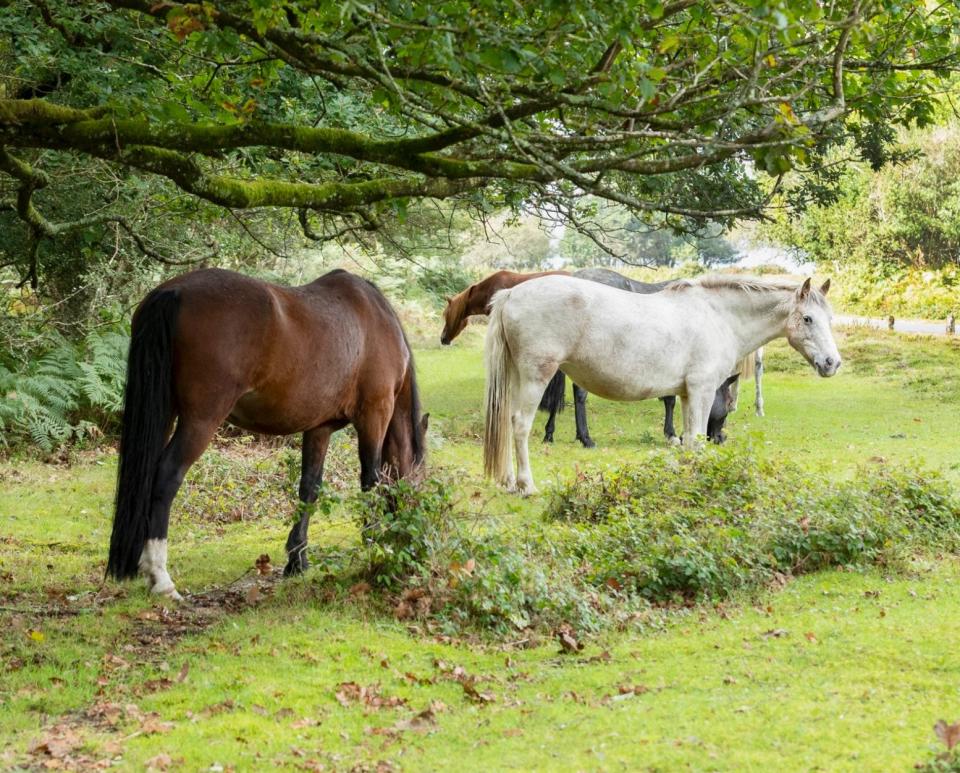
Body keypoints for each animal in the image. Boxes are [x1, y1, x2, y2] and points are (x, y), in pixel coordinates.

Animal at [107, 268, 426, 600]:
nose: (415, 542)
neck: (376, 319)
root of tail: (174, 291)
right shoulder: (375, 414)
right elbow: (371, 482)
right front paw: (375, 543)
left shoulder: (319, 428)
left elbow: (309, 488)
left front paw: (297, 560)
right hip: (201, 420)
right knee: (166, 476)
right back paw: (161, 578)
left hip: (165, 412)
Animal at [484, 276, 836, 494]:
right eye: (808, 319)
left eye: (829, 319)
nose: (832, 362)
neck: (717, 316)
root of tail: (511, 294)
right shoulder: (702, 391)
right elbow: (696, 440)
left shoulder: (686, 395)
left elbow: (686, 439)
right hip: (536, 377)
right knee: (520, 426)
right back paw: (526, 484)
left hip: (515, 379)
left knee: (506, 421)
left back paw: (509, 481)